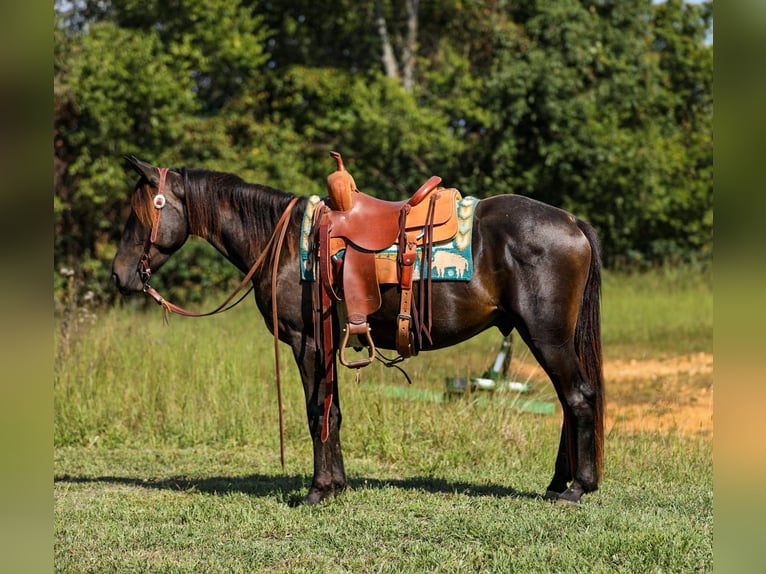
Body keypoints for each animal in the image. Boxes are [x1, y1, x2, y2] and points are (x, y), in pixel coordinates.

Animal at [111, 156, 604, 505]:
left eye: (142, 212)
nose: (119, 275)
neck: (281, 241)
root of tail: (571, 221)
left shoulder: (307, 342)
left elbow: (317, 412)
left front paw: (318, 490)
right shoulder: (327, 345)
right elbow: (334, 413)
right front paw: (338, 484)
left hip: (546, 335)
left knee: (579, 397)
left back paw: (577, 487)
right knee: (570, 402)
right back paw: (557, 483)